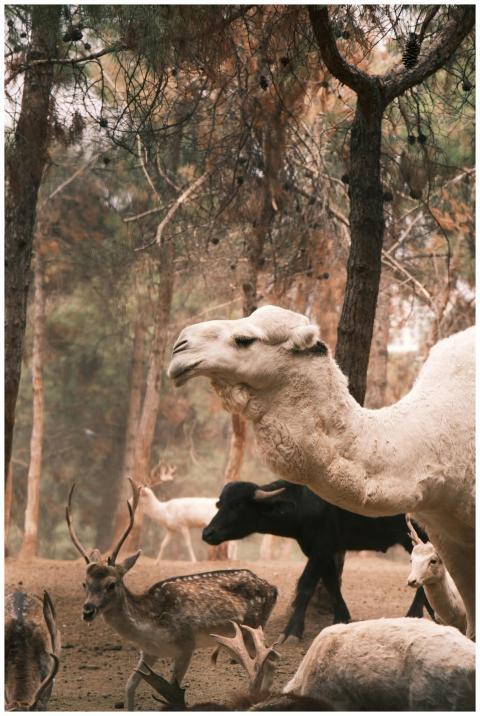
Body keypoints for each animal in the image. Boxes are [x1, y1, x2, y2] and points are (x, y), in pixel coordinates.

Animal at [66, 478, 277, 711]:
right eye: (84, 583)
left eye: (111, 584)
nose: (87, 611)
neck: (150, 626)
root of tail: (273, 589)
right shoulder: (149, 652)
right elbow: (129, 685)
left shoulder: (186, 644)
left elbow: (173, 685)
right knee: (272, 659)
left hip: (252, 627)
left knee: (268, 660)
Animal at [167, 305, 475, 638]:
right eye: (219, 503)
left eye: (245, 339)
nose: (180, 346)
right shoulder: (443, 533)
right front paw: (338, 619)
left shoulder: (325, 541)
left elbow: (308, 583)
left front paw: (292, 631)